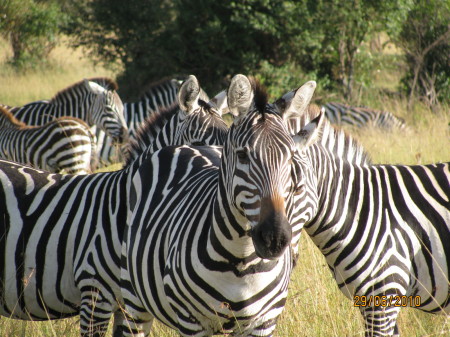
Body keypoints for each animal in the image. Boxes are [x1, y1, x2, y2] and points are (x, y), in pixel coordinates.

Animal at [118, 75, 322, 336]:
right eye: (242, 155)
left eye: (290, 158)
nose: (275, 239)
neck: (242, 261)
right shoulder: (190, 321)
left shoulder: (265, 321)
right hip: (133, 299)